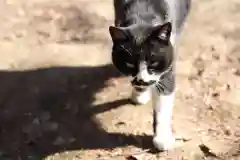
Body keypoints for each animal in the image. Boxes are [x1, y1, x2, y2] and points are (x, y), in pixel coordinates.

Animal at [109, 0, 191, 151]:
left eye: (154, 62)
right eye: (129, 64)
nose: (141, 80)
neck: (143, 15)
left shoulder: (168, 64)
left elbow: (163, 105)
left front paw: (163, 138)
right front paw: (140, 93)